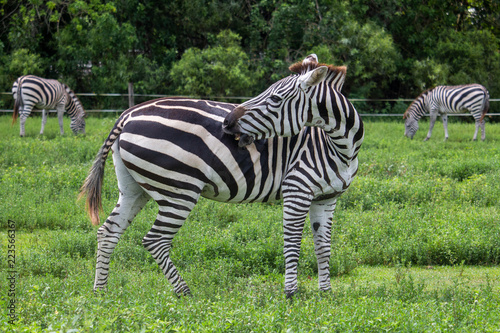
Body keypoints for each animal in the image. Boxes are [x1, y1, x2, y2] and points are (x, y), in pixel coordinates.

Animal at [80, 54, 366, 298]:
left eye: (275, 99)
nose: (227, 123)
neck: (338, 146)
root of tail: (128, 115)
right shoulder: (297, 189)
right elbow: (293, 243)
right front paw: (291, 294)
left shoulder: (327, 198)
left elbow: (323, 247)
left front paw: (325, 294)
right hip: (178, 190)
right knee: (155, 240)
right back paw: (185, 293)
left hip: (134, 188)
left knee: (108, 231)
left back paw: (100, 292)